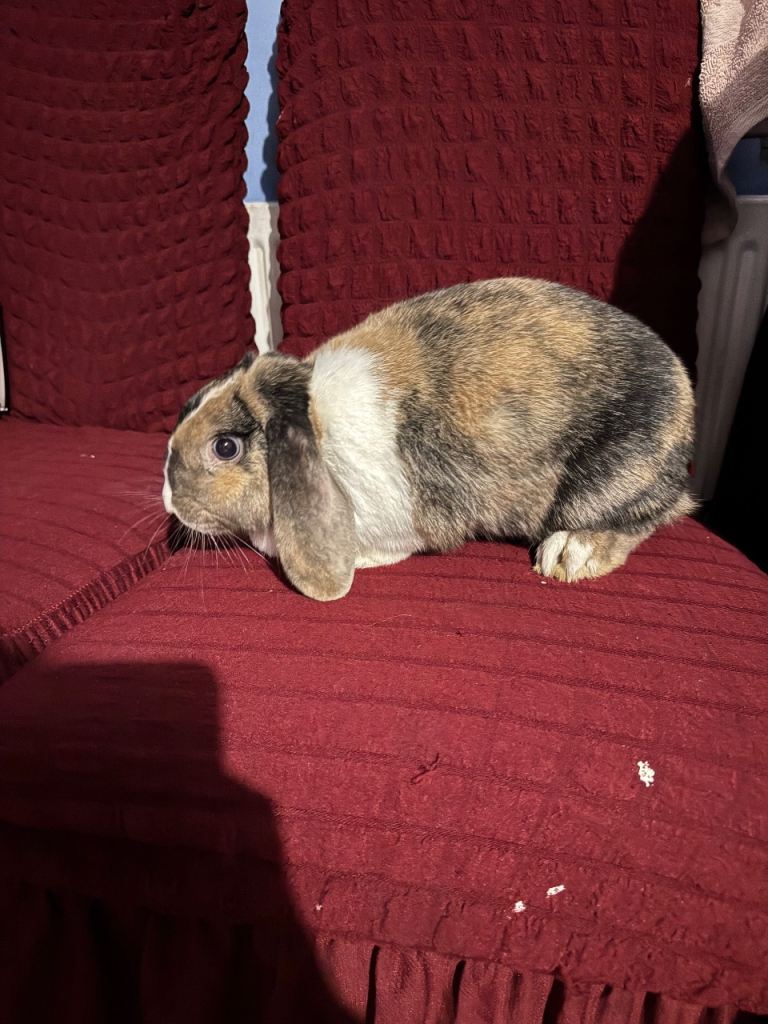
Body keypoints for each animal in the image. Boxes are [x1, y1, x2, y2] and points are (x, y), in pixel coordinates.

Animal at [163, 278, 696, 601]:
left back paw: (568, 554)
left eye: (225, 447)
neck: (316, 422)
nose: (167, 499)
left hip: (610, 483)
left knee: (642, 519)